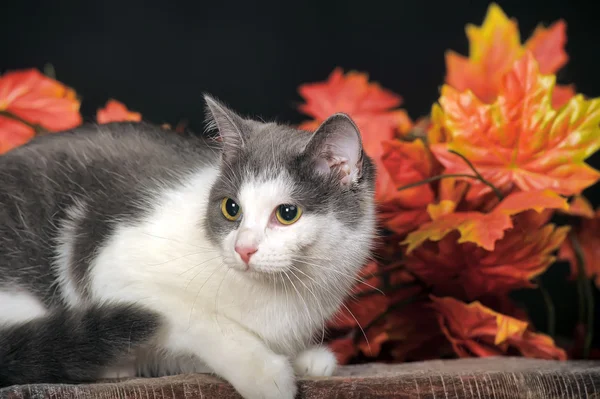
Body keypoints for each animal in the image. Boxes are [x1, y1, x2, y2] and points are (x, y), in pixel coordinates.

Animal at [0, 97, 376, 399]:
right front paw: (265, 372)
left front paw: (306, 358)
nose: (244, 249)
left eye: (287, 213)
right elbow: (202, 320)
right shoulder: (114, 268)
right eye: (231, 208)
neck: (276, 291)